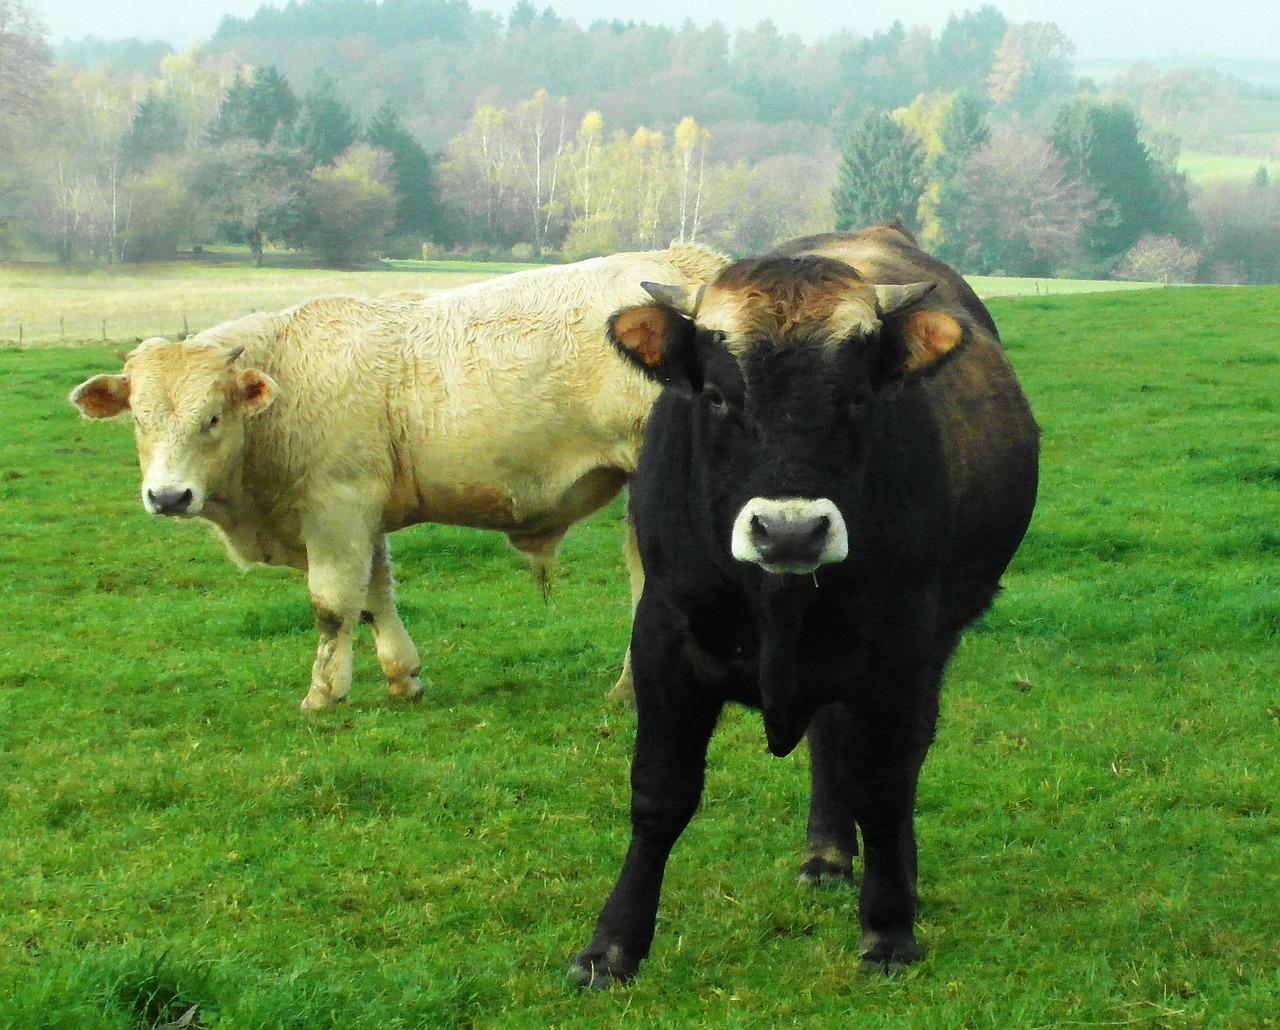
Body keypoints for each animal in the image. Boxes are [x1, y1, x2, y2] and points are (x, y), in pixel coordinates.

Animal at [70, 248, 727, 711]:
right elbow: (374, 595)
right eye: (140, 419)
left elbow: (332, 604)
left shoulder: (335, 507)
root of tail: (685, 259)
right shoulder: (363, 513)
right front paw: (401, 677)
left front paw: (323, 693)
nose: (168, 496)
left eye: (211, 418)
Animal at [570, 222, 1039, 982]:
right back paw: (825, 855)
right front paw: (612, 946)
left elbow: (882, 784)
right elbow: (660, 793)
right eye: (717, 397)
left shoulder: (901, 652)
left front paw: (889, 926)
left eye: (857, 397)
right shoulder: (663, 639)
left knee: (895, 760)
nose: (790, 530)